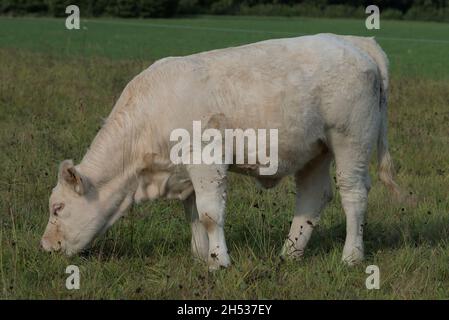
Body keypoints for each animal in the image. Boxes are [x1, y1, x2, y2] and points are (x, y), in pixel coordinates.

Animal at [41, 33, 400, 270]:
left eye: (58, 207)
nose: (46, 247)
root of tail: (354, 41)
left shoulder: (205, 159)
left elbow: (210, 214)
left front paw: (218, 261)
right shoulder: (184, 173)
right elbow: (194, 214)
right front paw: (201, 256)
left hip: (350, 140)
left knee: (353, 195)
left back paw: (351, 256)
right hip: (316, 150)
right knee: (313, 197)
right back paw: (289, 254)